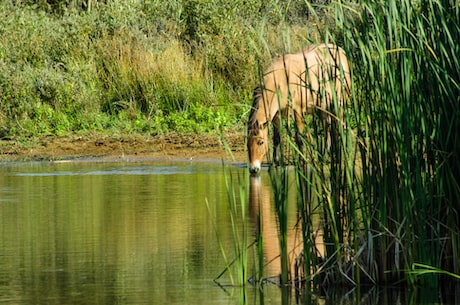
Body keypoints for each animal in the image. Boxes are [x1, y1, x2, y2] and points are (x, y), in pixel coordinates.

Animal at [246, 42, 350, 173]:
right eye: (247, 143)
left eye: (261, 142)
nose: (253, 169)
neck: (281, 78)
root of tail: (340, 50)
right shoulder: (277, 114)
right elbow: (277, 138)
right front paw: (275, 163)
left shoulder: (298, 111)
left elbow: (299, 138)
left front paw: (301, 162)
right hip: (322, 109)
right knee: (328, 128)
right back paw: (325, 156)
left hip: (340, 103)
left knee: (341, 126)